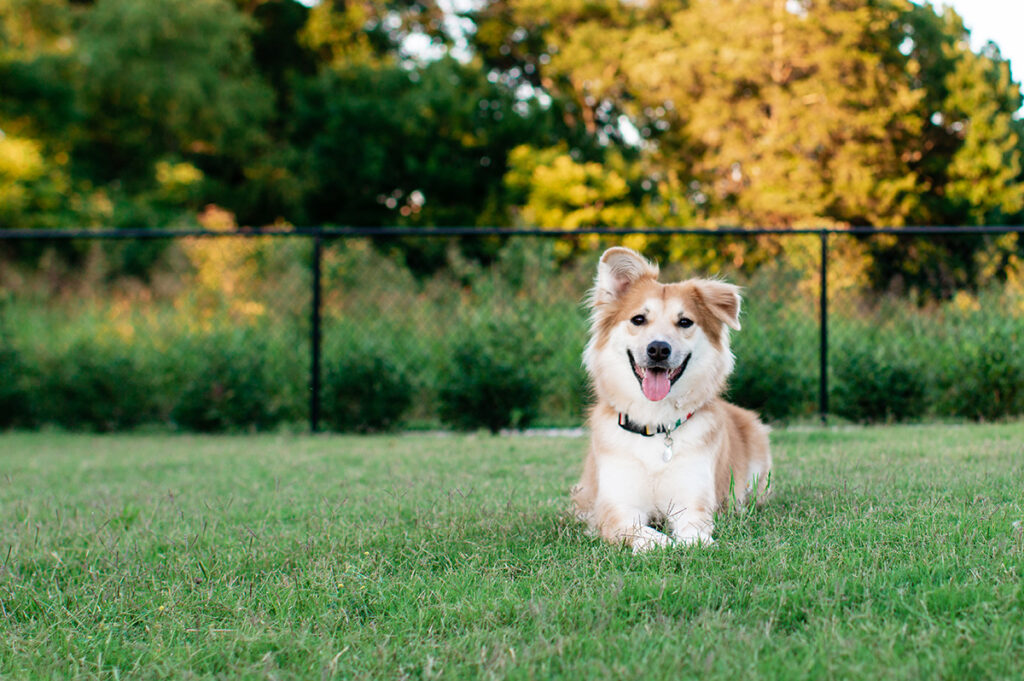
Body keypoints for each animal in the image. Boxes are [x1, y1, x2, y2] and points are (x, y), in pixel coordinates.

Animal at [573, 246, 770, 548]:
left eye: (685, 322)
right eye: (638, 319)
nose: (658, 349)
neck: (655, 423)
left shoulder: (692, 500)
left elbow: (694, 532)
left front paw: (692, 543)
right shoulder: (616, 508)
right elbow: (642, 532)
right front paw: (661, 544)